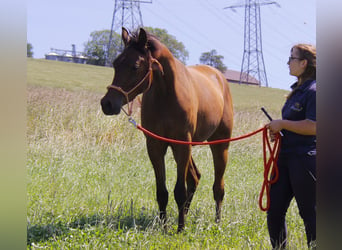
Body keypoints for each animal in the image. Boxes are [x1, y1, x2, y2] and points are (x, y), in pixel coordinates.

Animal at [100, 27, 234, 232]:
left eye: (135, 66)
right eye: (115, 63)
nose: (107, 103)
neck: (166, 95)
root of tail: (219, 77)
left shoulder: (182, 145)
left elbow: (179, 190)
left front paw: (179, 229)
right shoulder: (156, 145)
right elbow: (162, 191)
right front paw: (164, 227)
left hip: (220, 144)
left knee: (218, 187)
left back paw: (216, 222)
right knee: (194, 178)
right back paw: (185, 214)